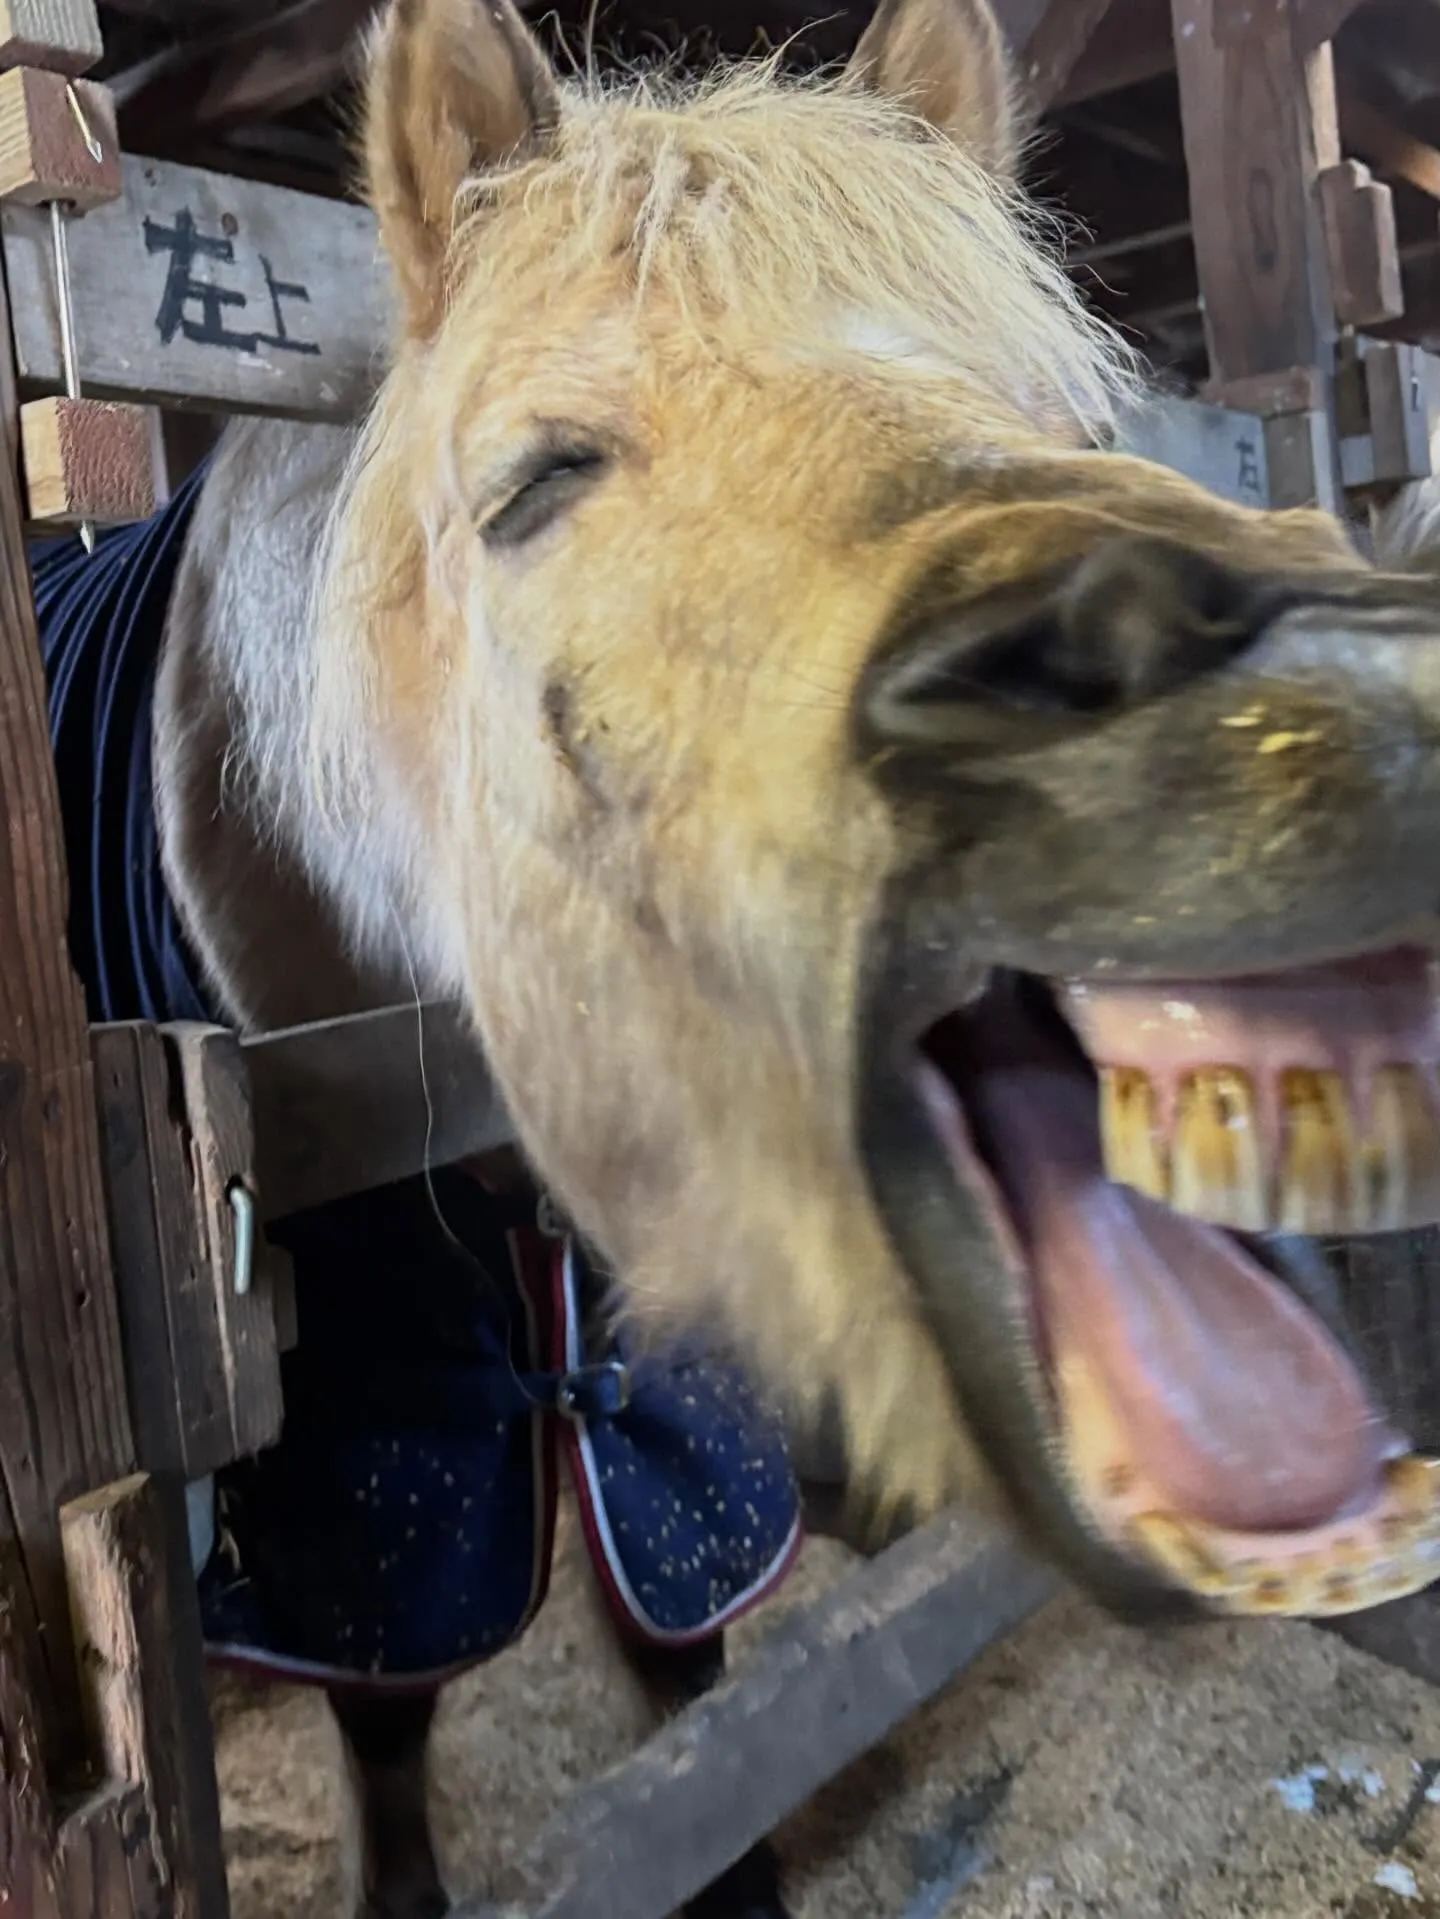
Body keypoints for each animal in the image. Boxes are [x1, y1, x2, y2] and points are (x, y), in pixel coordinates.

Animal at [36, 0, 1440, 1907]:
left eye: (1073, 409)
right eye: (539, 480)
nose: (1310, 687)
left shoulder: (662, 1401)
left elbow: (686, 1670)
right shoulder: (370, 1457)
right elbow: (394, 1722)